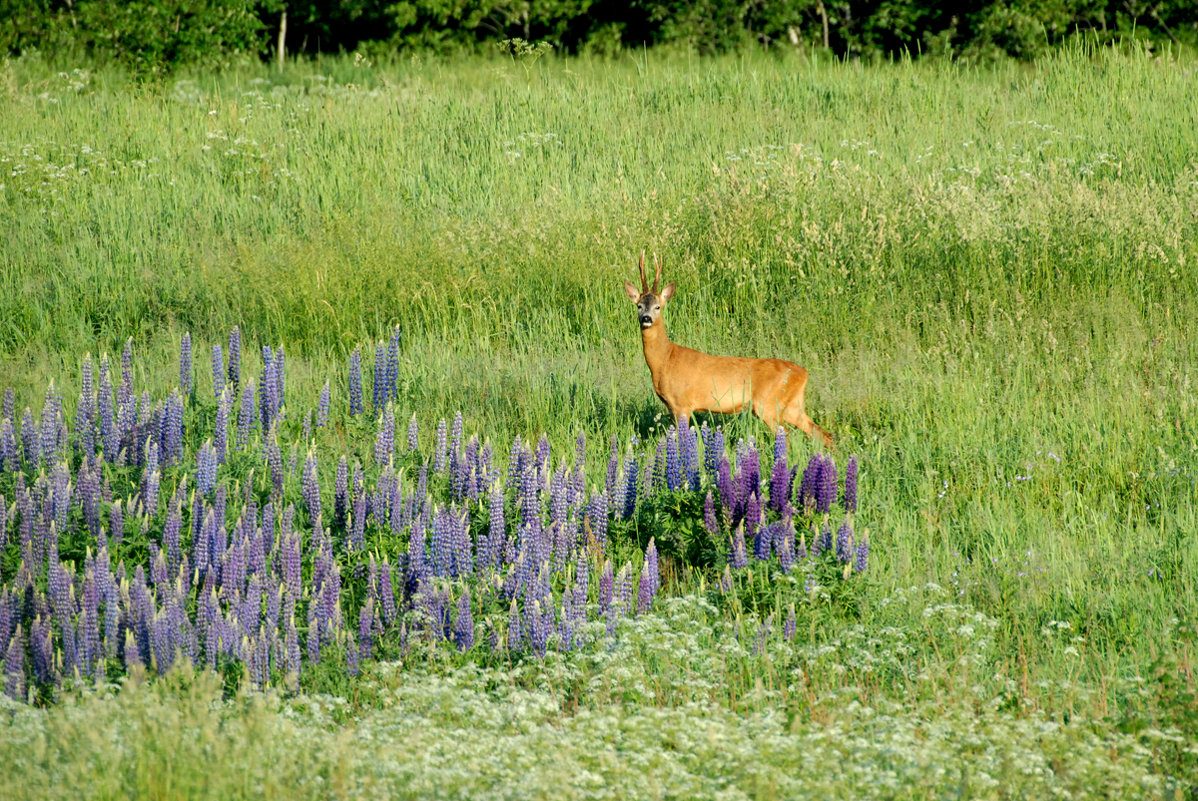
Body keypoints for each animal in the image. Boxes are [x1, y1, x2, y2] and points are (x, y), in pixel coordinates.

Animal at [627, 252, 833, 447]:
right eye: (639, 306)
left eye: (657, 306)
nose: (646, 318)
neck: (665, 360)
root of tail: (804, 373)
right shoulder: (671, 406)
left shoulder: (682, 403)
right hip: (792, 406)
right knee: (822, 434)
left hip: (768, 404)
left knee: (788, 437)